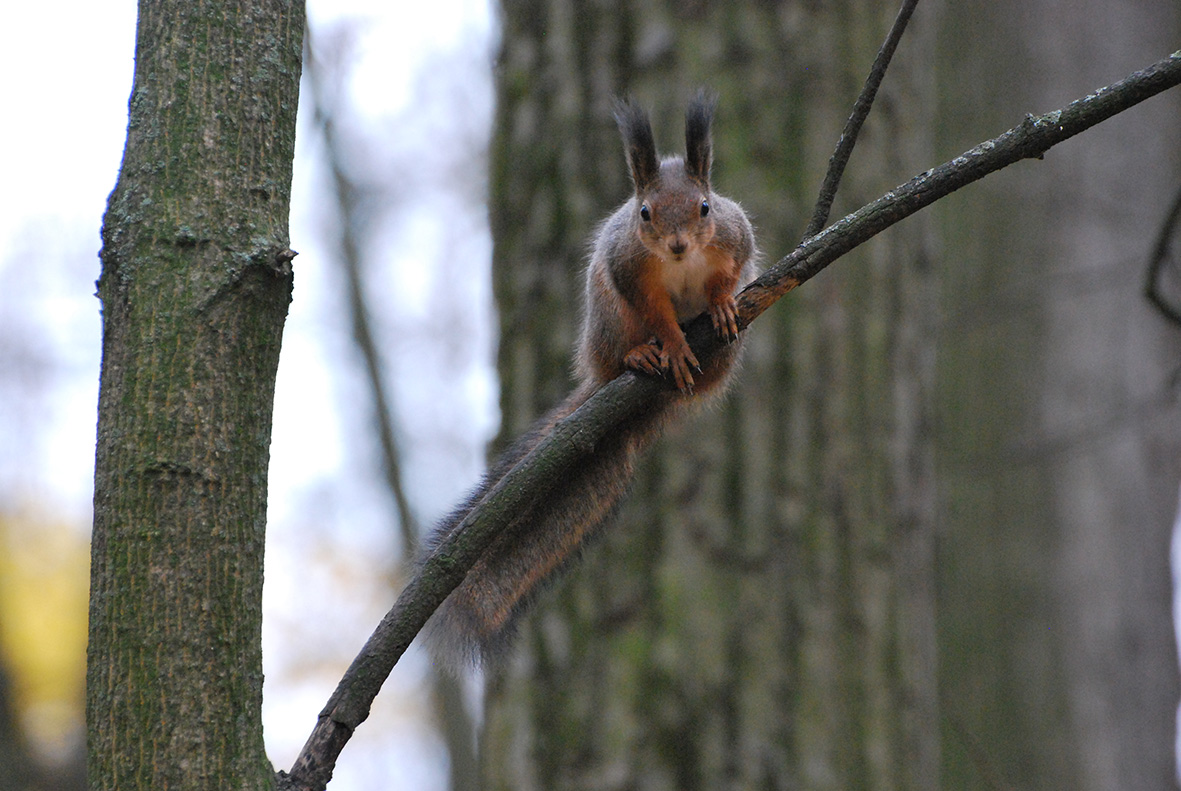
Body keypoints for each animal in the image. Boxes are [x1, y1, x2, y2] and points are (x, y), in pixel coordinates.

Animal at [425, 94, 755, 675]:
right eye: (644, 212)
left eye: (705, 208)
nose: (676, 245)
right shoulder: (629, 268)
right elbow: (655, 310)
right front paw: (672, 342)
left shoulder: (735, 239)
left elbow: (728, 274)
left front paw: (718, 304)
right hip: (606, 316)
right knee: (623, 342)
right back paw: (640, 357)